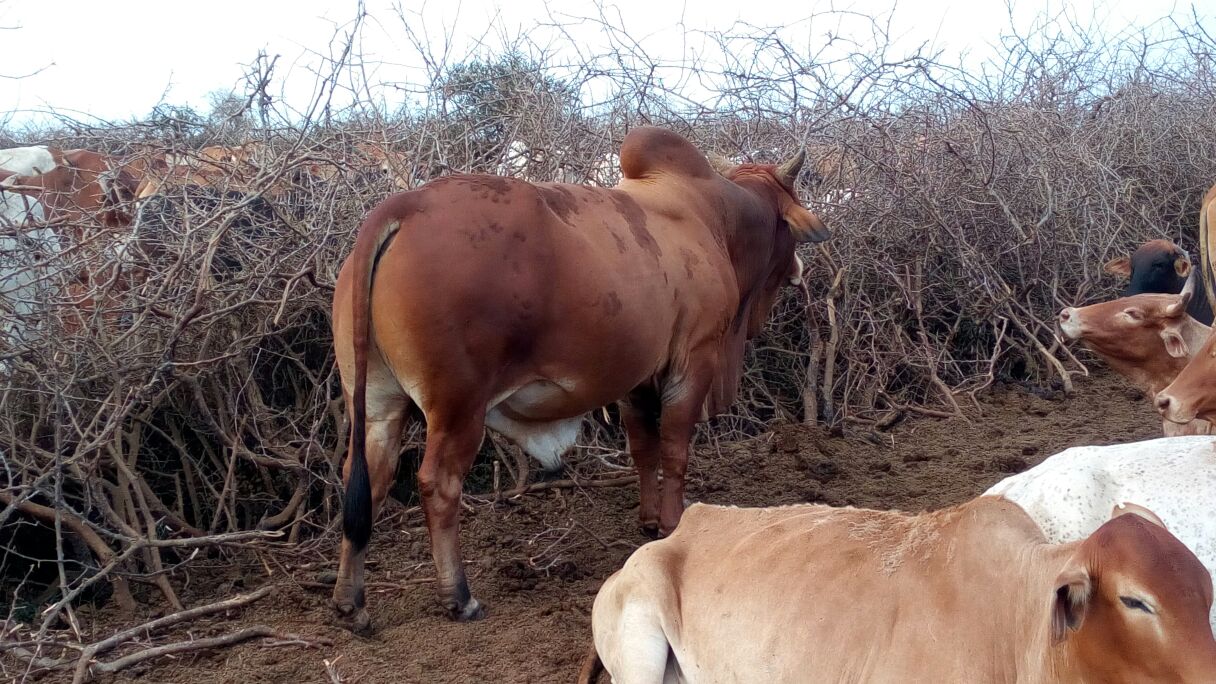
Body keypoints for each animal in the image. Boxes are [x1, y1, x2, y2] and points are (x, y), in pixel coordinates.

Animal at [330, 126, 828, 632]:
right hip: (457, 407)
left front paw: (648, 521)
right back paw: (460, 597)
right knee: (439, 484)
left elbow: (643, 451)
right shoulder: (694, 361)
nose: (798, 271)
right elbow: (674, 450)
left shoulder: (637, 378)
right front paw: (671, 525)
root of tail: (405, 205)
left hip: (375, 403)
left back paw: (351, 602)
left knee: (364, 479)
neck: (717, 215)